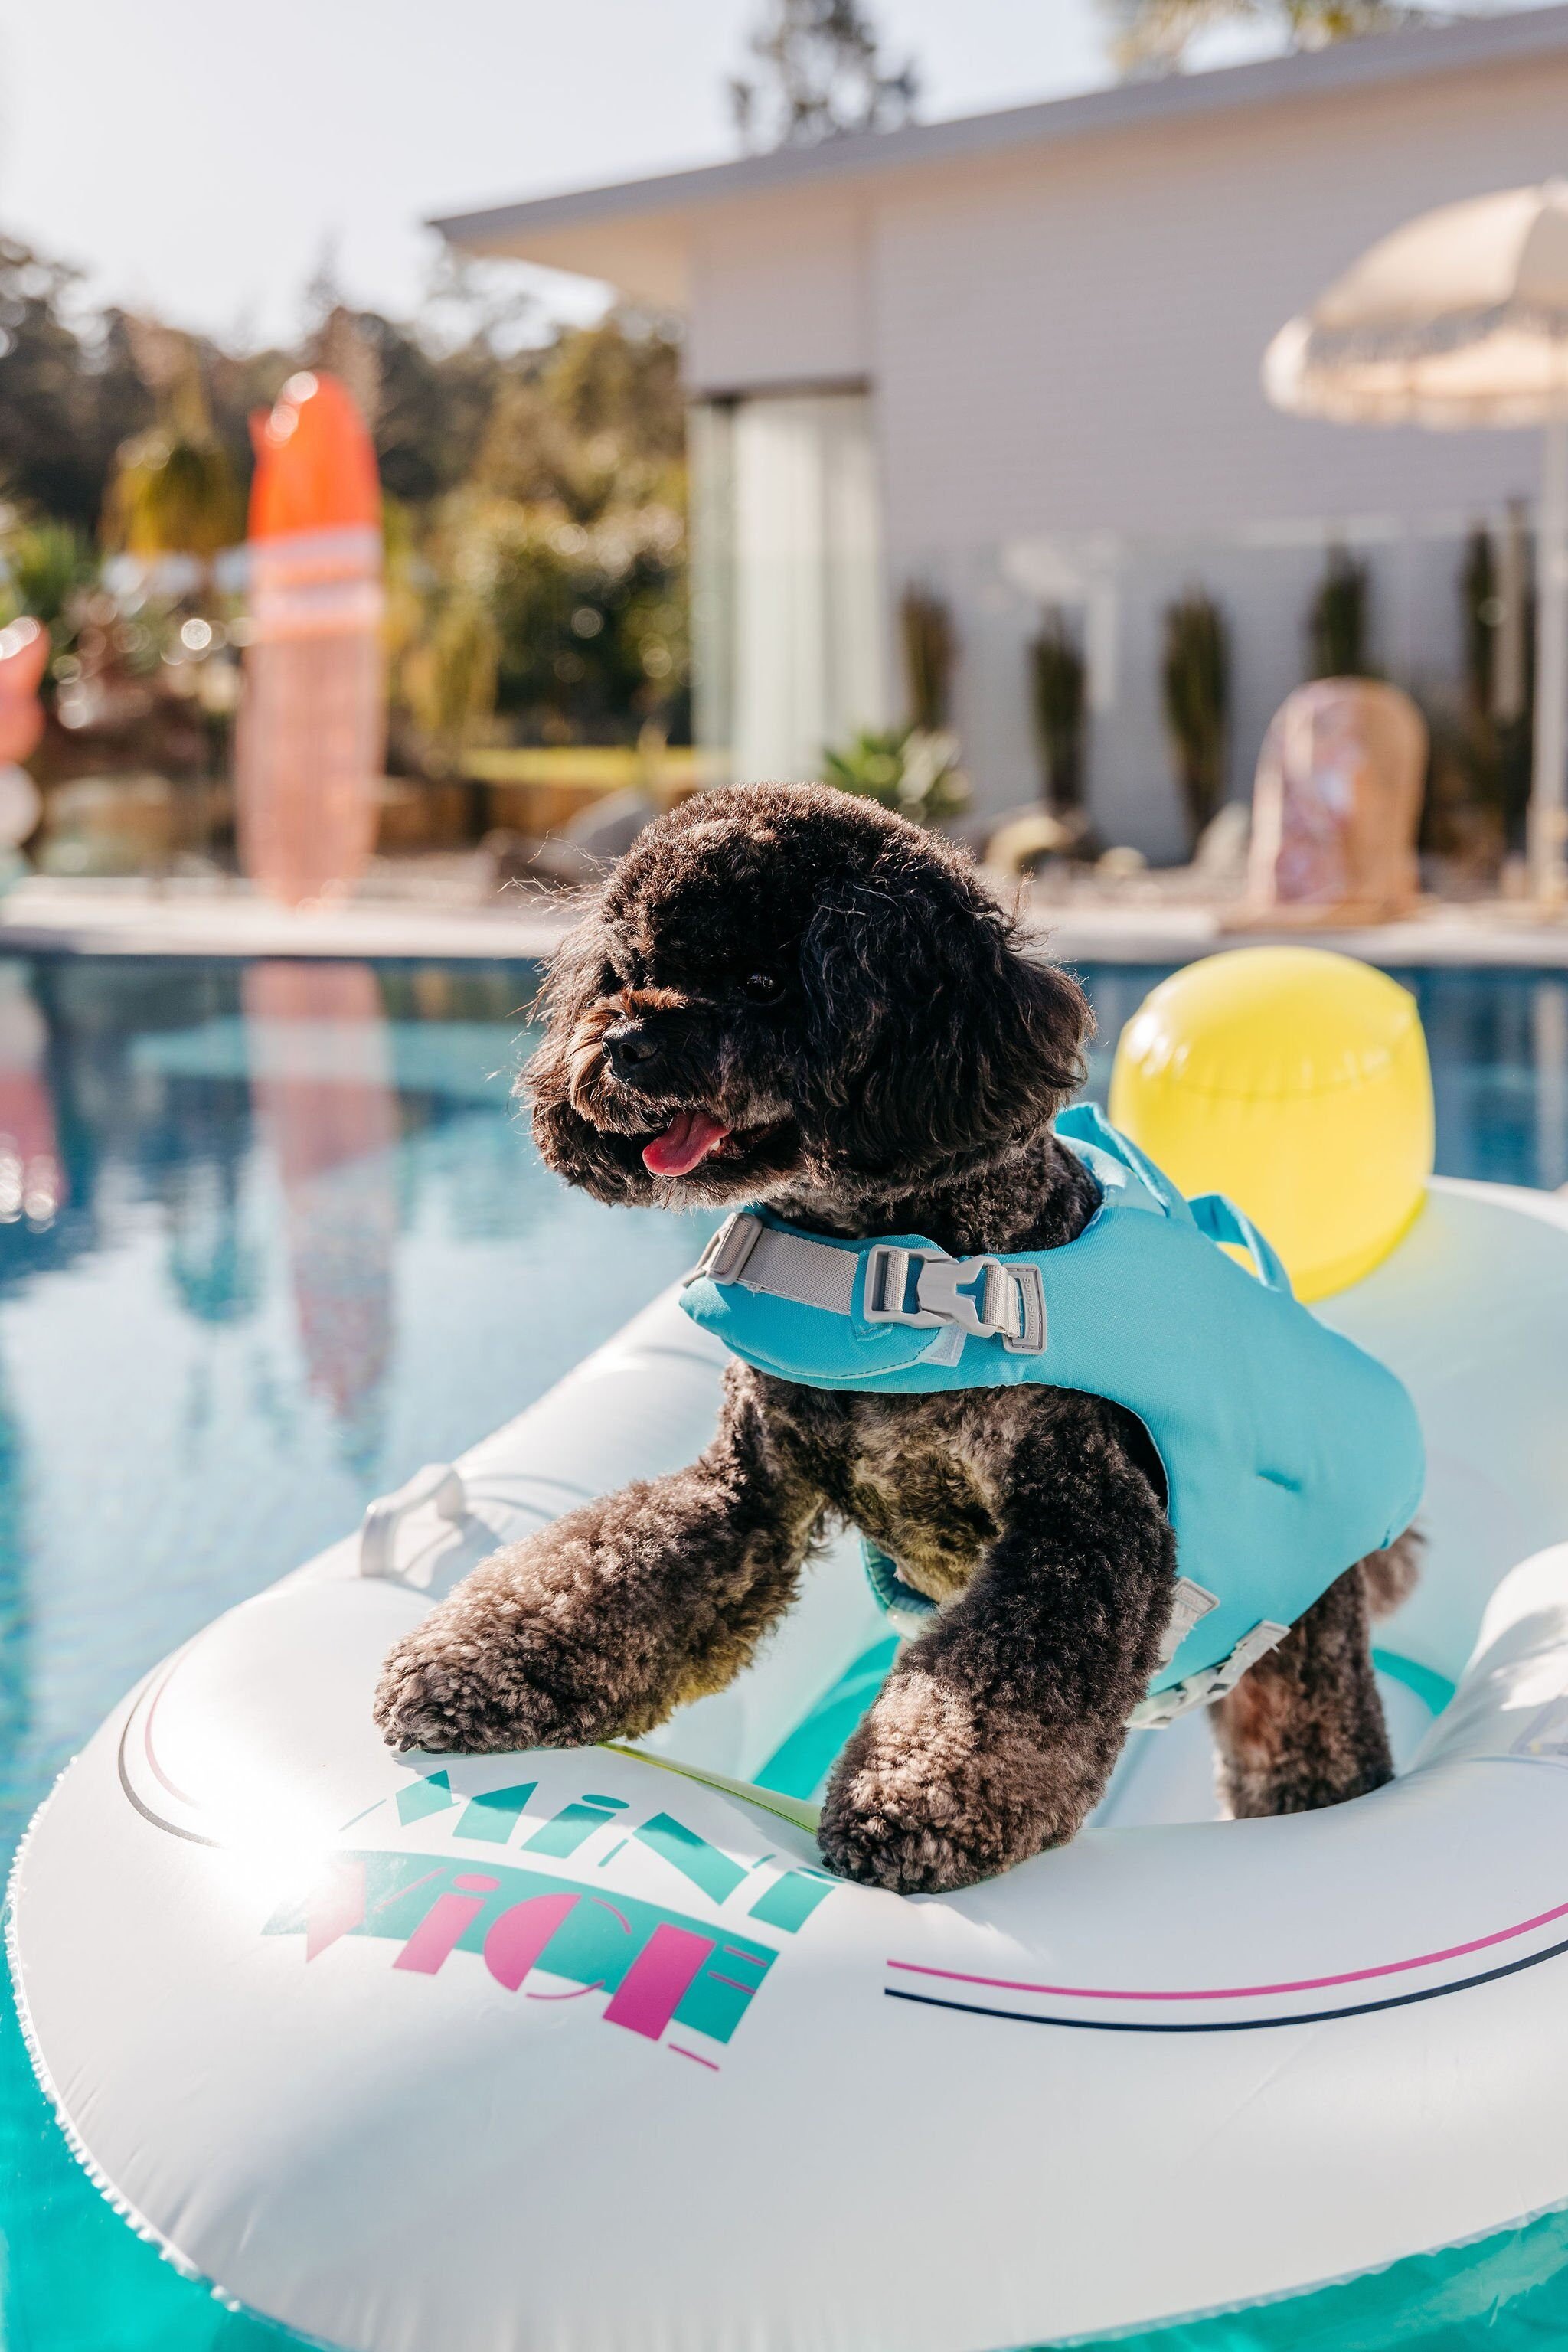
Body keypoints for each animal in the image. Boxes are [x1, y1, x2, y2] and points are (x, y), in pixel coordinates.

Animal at [374, 786, 1419, 1890]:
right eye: (628, 969)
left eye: (763, 981)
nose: (620, 1042)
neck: (891, 1263)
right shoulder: (748, 1495)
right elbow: (608, 1570)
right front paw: (466, 1665)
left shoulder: (1090, 1524)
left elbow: (998, 1686)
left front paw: (918, 1800)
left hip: (1303, 1658)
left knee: (1313, 1755)